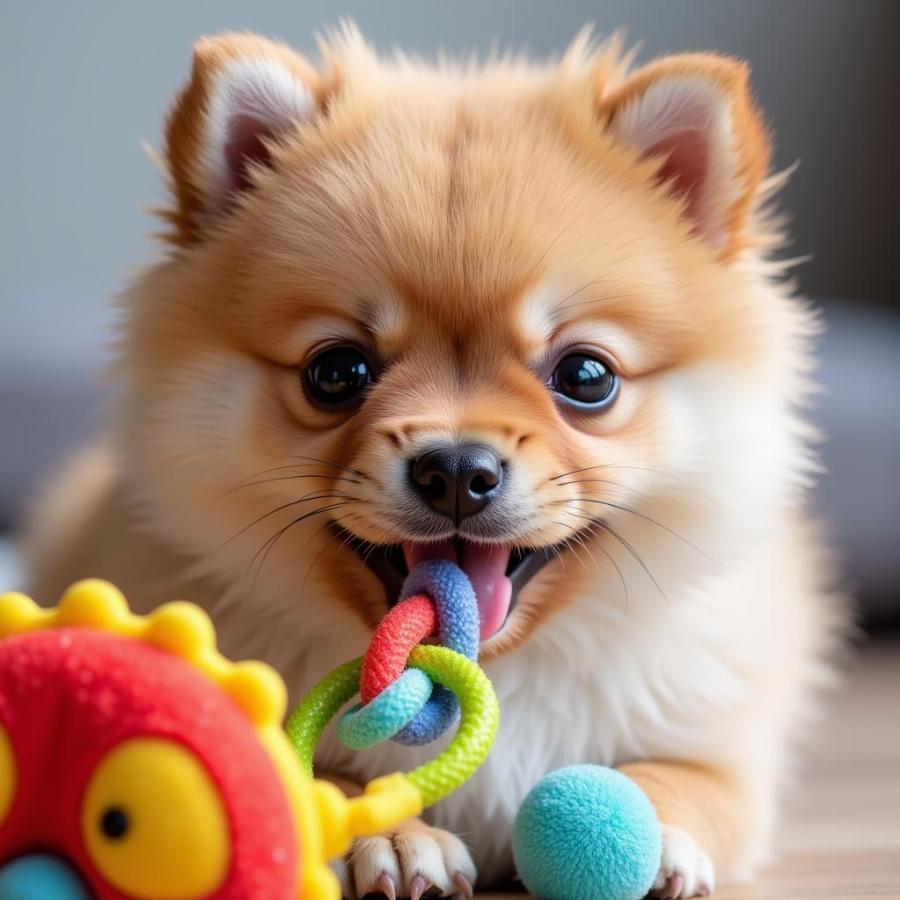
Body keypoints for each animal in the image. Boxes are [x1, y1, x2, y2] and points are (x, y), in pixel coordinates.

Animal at [26, 24, 844, 896]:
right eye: (336, 372)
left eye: (586, 377)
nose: (456, 469)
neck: (493, 672)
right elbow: (316, 777)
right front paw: (390, 834)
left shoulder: (721, 746)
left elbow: (688, 778)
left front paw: (647, 826)